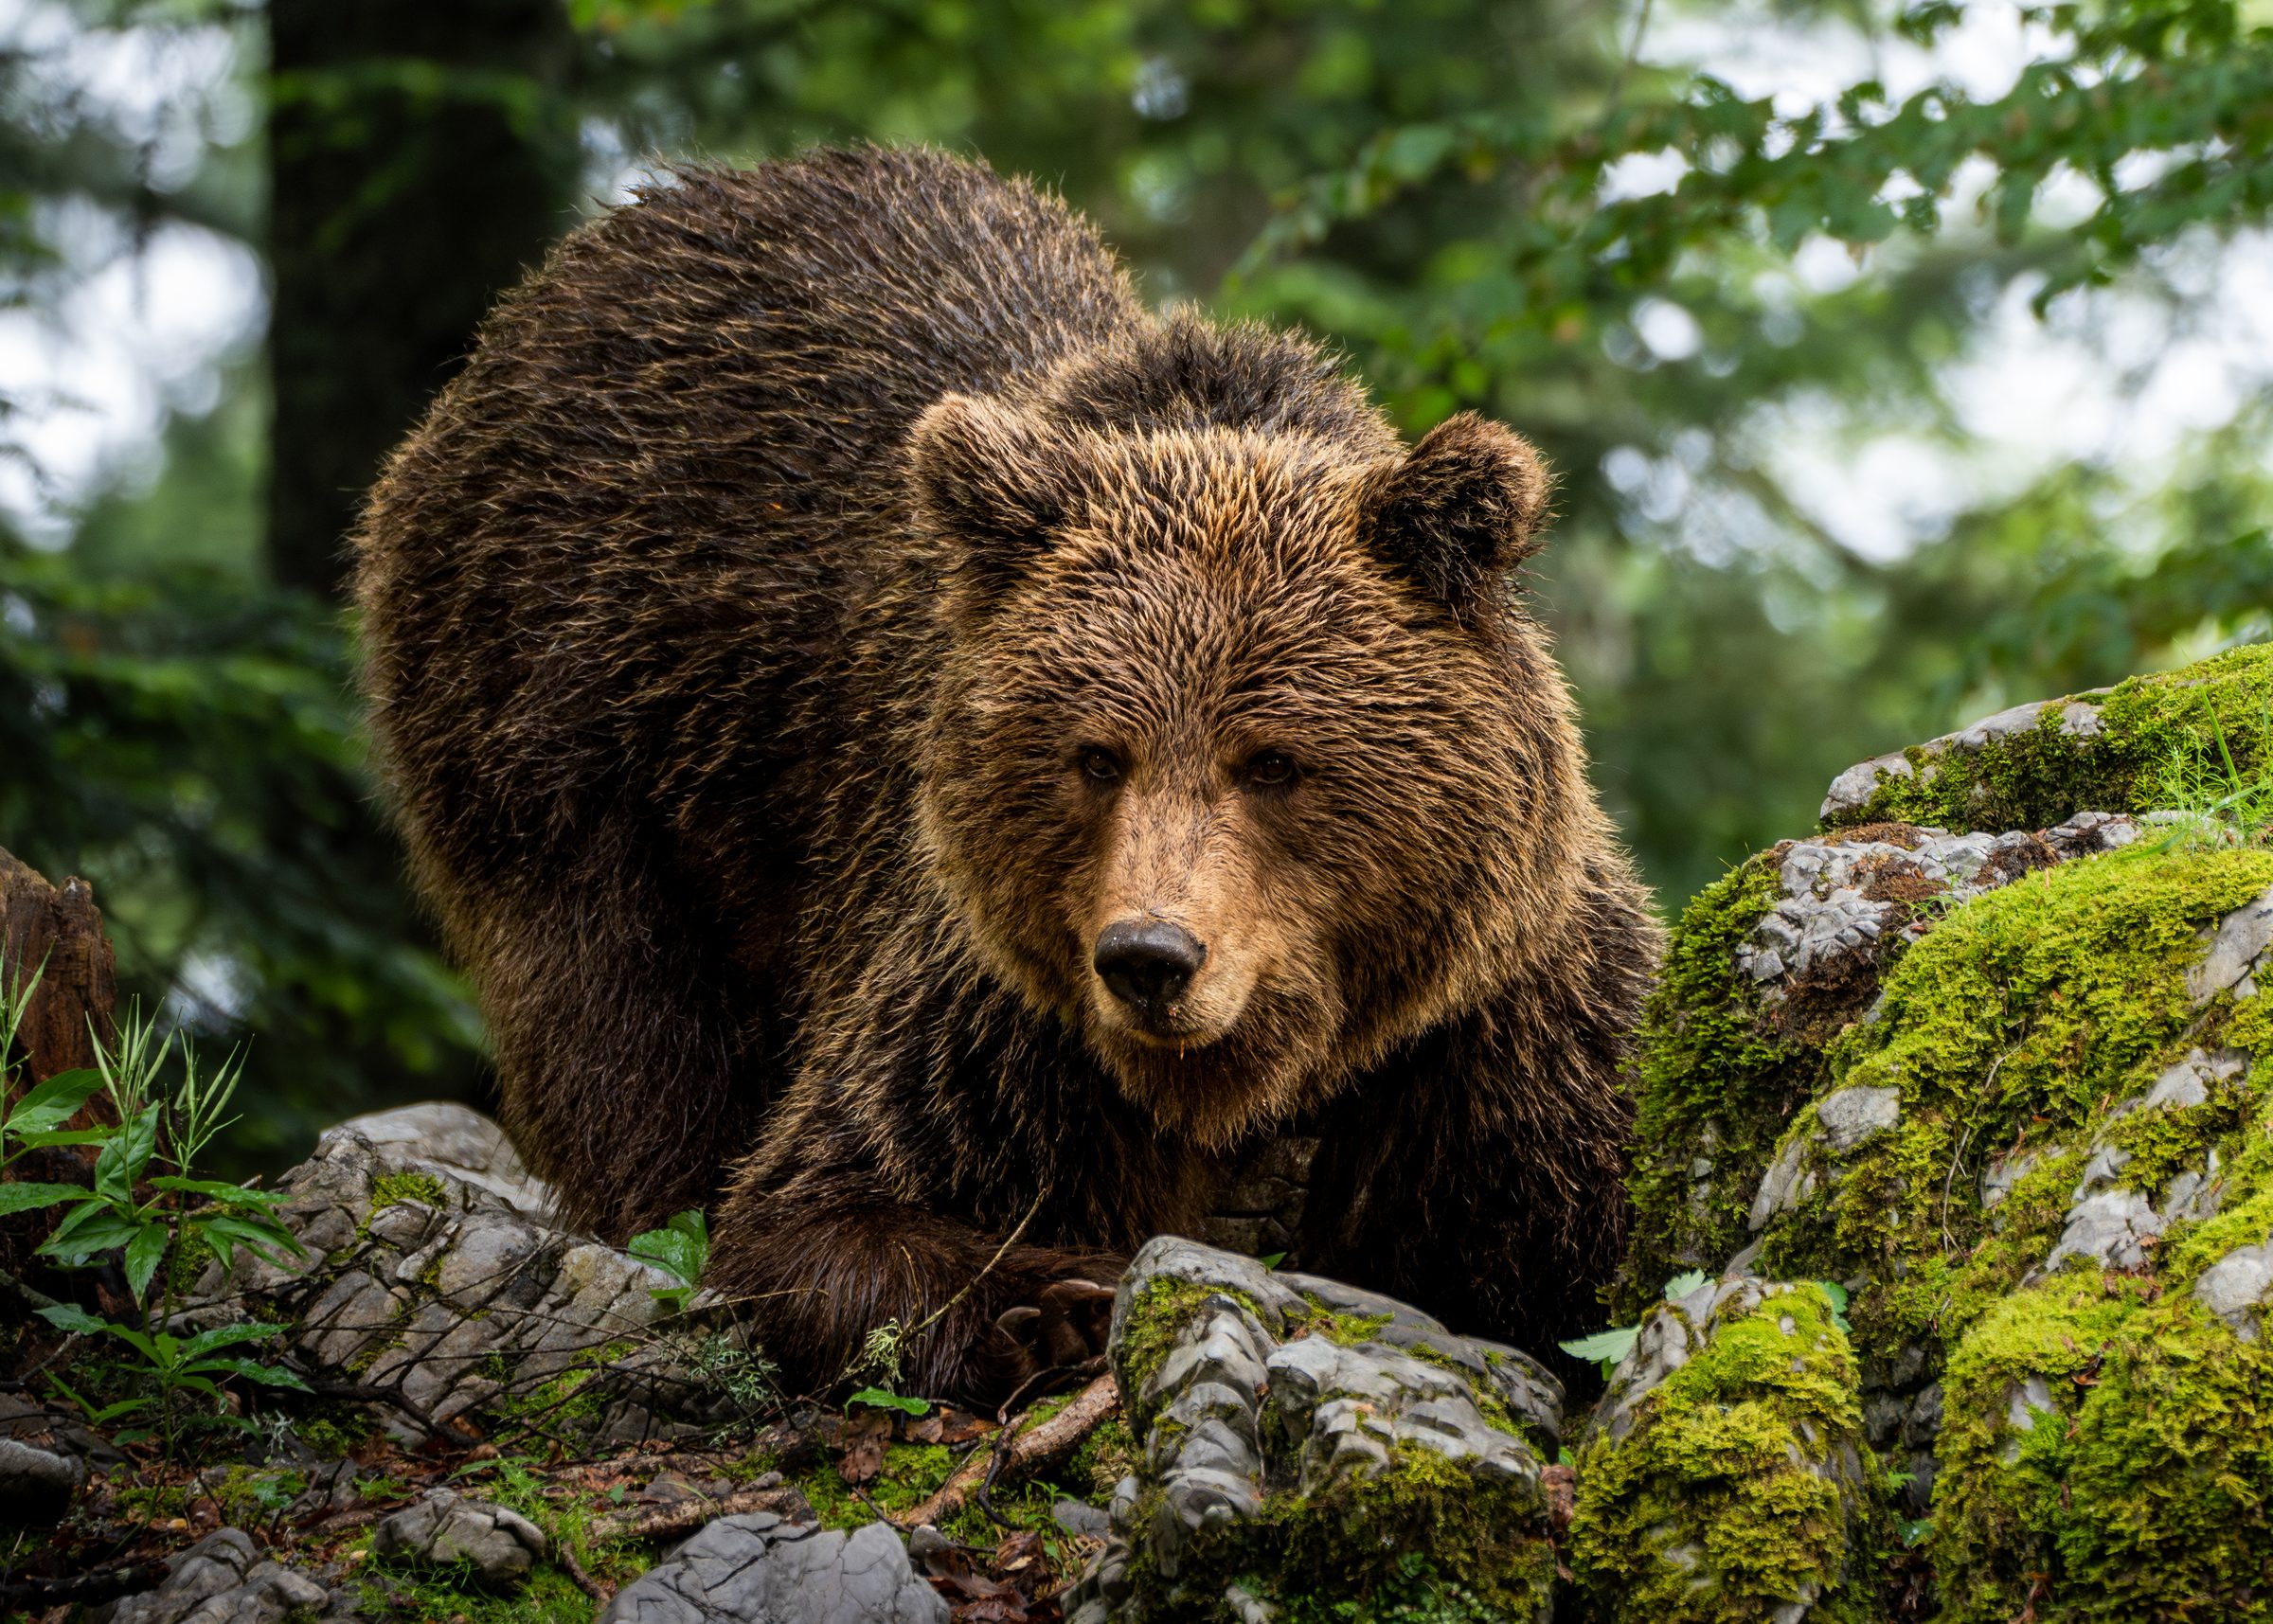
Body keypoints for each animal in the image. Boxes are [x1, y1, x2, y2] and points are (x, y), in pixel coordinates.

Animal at [354, 145, 1660, 1401]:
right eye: (1096, 754)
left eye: (1275, 760)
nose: (1149, 957)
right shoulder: (997, 1003)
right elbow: (821, 1204)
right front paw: (1053, 1301)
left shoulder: (1493, 1022)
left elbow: (1588, 1232)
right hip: (574, 705)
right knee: (617, 1006)